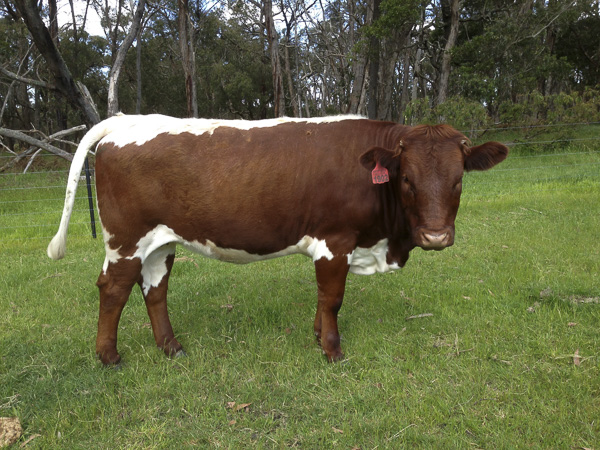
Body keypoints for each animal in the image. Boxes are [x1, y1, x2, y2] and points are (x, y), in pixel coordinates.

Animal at [47, 113, 508, 366]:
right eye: (407, 180)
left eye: (459, 179)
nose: (435, 235)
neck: (384, 243)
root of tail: (128, 120)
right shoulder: (334, 241)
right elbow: (332, 298)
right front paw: (333, 351)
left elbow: (323, 299)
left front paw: (319, 336)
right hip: (125, 239)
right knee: (113, 289)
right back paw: (109, 357)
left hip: (160, 241)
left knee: (154, 289)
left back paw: (171, 348)